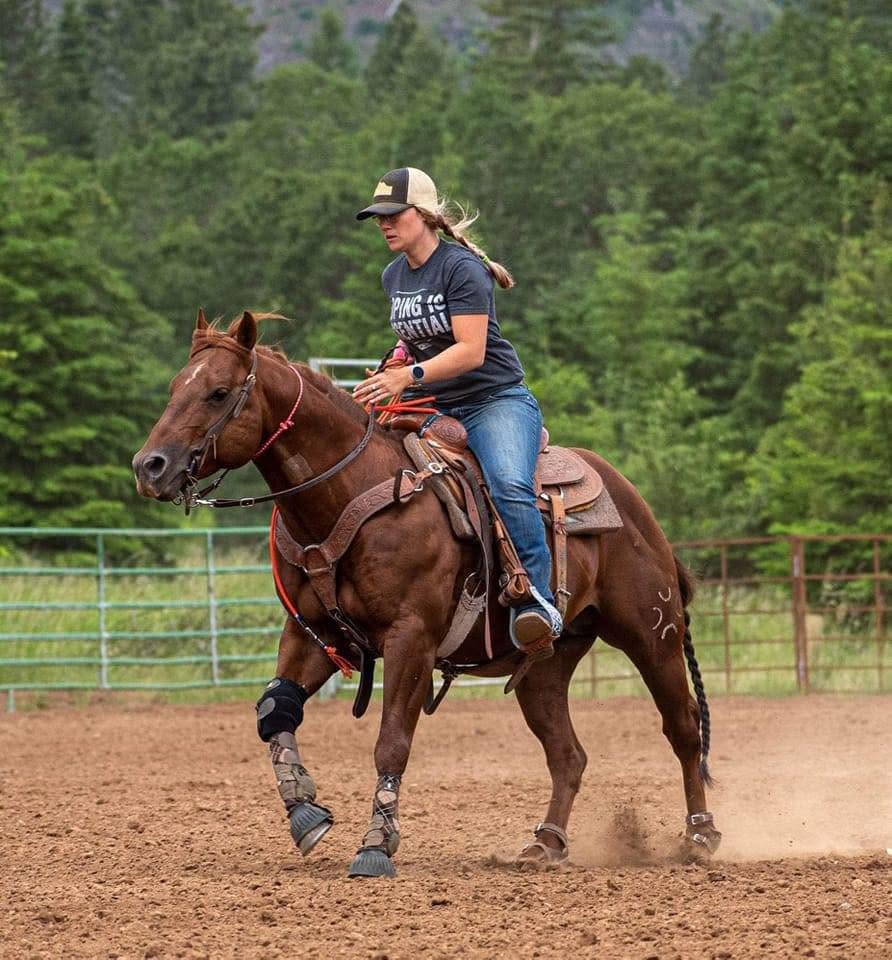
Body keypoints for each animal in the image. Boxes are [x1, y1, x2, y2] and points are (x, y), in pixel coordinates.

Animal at [132, 310, 722, 878]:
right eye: (175, 387)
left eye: (218, 392)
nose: (148, 467)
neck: (346, 494)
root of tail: (631, 500)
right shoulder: (315, 634)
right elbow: (275, 712)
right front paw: (306, 814)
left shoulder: (410, 638)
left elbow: (392, 739)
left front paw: (377, 845)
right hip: (547, 665)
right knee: (568, 754)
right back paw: (546, 844)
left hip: (652, 634)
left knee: (682, 727)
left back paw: (699, 837)